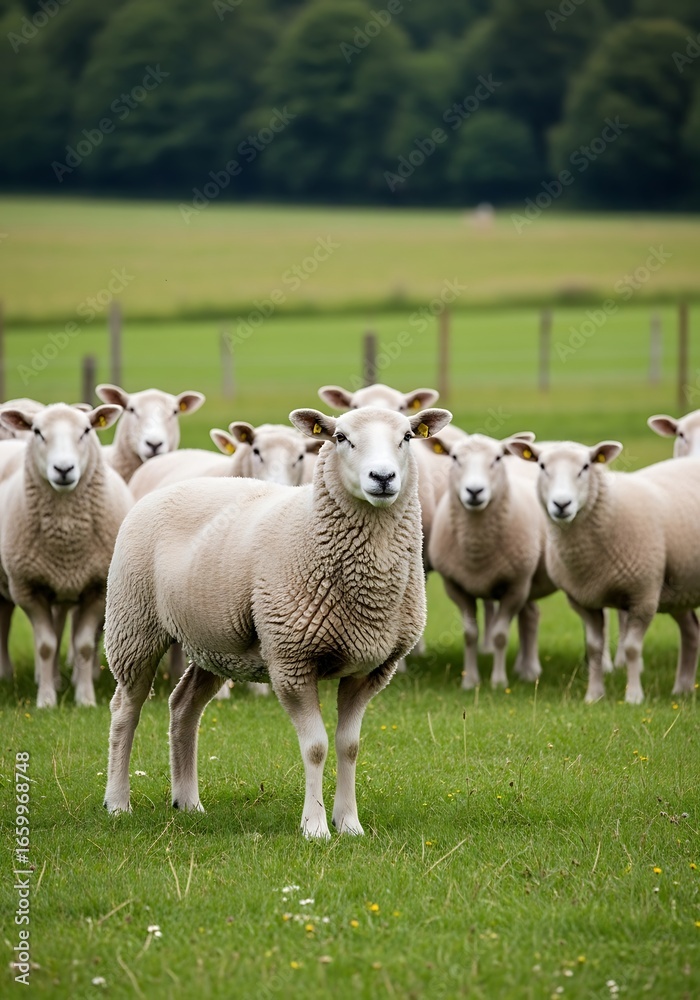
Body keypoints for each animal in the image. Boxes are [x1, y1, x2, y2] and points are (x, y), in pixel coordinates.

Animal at [0, 403, 133, 707]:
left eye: (86, 430)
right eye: (37, 432)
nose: (63, 469)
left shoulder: (98, 588)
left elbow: (82, 646)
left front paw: (85, 699)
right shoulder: (27, 588)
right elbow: (46, 646)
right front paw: (47, 701)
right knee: (4, 621)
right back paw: (7, 675)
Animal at [103, 405, 452, 837]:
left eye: (406, 437)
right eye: (340, 437)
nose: (383, 477)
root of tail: (162, 489)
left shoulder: (369, 670)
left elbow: (349, 746)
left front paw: (349, 823)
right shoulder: (291, 661)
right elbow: (316, 747)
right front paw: (315, 827)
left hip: (214, 643)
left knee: (183, 706)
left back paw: (188, 802)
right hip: (133, 623)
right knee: (125, 710)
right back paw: (117, 802)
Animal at [428, 432, 555, 689]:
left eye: (497, 458)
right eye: (454, 457)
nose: (475, 491)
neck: (477, 547)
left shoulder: (515, 587)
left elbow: (499, 636)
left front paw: (498, 682)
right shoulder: (456, 587)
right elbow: (470, 635)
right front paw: (470, 681)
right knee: (531, 616)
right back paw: (528, 670)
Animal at [507, 438, 700, 704]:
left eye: (586, 467)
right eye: (542, 466)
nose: (561, 504)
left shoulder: (643, 595)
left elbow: (631, 648)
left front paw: (633, 697)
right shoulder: (583, 600)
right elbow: (594, 648)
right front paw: (594, 695)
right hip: (679, 590)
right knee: (691, 630)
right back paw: (682, 689)